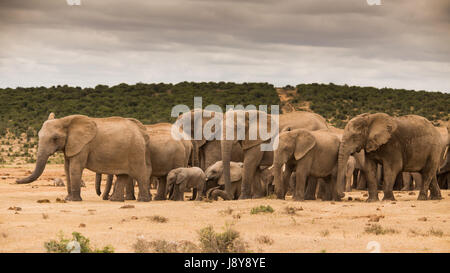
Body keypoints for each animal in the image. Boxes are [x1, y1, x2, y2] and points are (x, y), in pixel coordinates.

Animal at [16, 112, 152, 200]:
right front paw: (67, 199)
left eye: (55, 138)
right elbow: (67, 168)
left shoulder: (83, 145)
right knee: (122, 175)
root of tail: (140, 130)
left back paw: (143, 200)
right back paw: (115, 200)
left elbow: (75, 167)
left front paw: (73, 200)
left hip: (136, 149)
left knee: (140, 173)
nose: (16, 180)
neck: (66, 121)